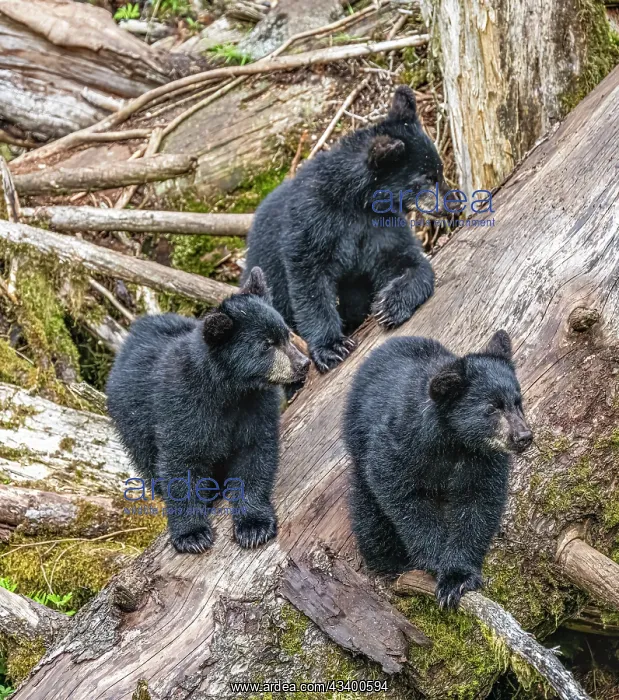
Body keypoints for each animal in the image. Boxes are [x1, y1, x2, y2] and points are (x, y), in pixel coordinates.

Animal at [106, 267, 310, 554]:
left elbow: (255, 453)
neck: (227, 391)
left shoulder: (255, 405)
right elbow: (181, 463)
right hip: (132, 421)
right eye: (266, 345)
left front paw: (254, 526)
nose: (303, 363)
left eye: (286, 334)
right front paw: (192, 534)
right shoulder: (182, 406)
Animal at [243, 85, 447, 373]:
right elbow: (309, 283)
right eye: (425, 179)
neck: (357, 203)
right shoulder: (311, 223)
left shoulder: (381, 227)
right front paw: (332, 347)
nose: (455, 203)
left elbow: (407, 261)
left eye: (438, 171)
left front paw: (390, 304)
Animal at [342, 331, 533, 609]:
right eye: (491, 408)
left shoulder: (484, 460)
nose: (523, 436)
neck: (454, 442)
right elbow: (402, 496)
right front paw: (435, 562)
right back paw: (390, 560)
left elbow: (478, 504)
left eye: (518, 402)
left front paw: (458, 577)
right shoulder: (400, 444)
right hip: (357, 443)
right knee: (369, 517)